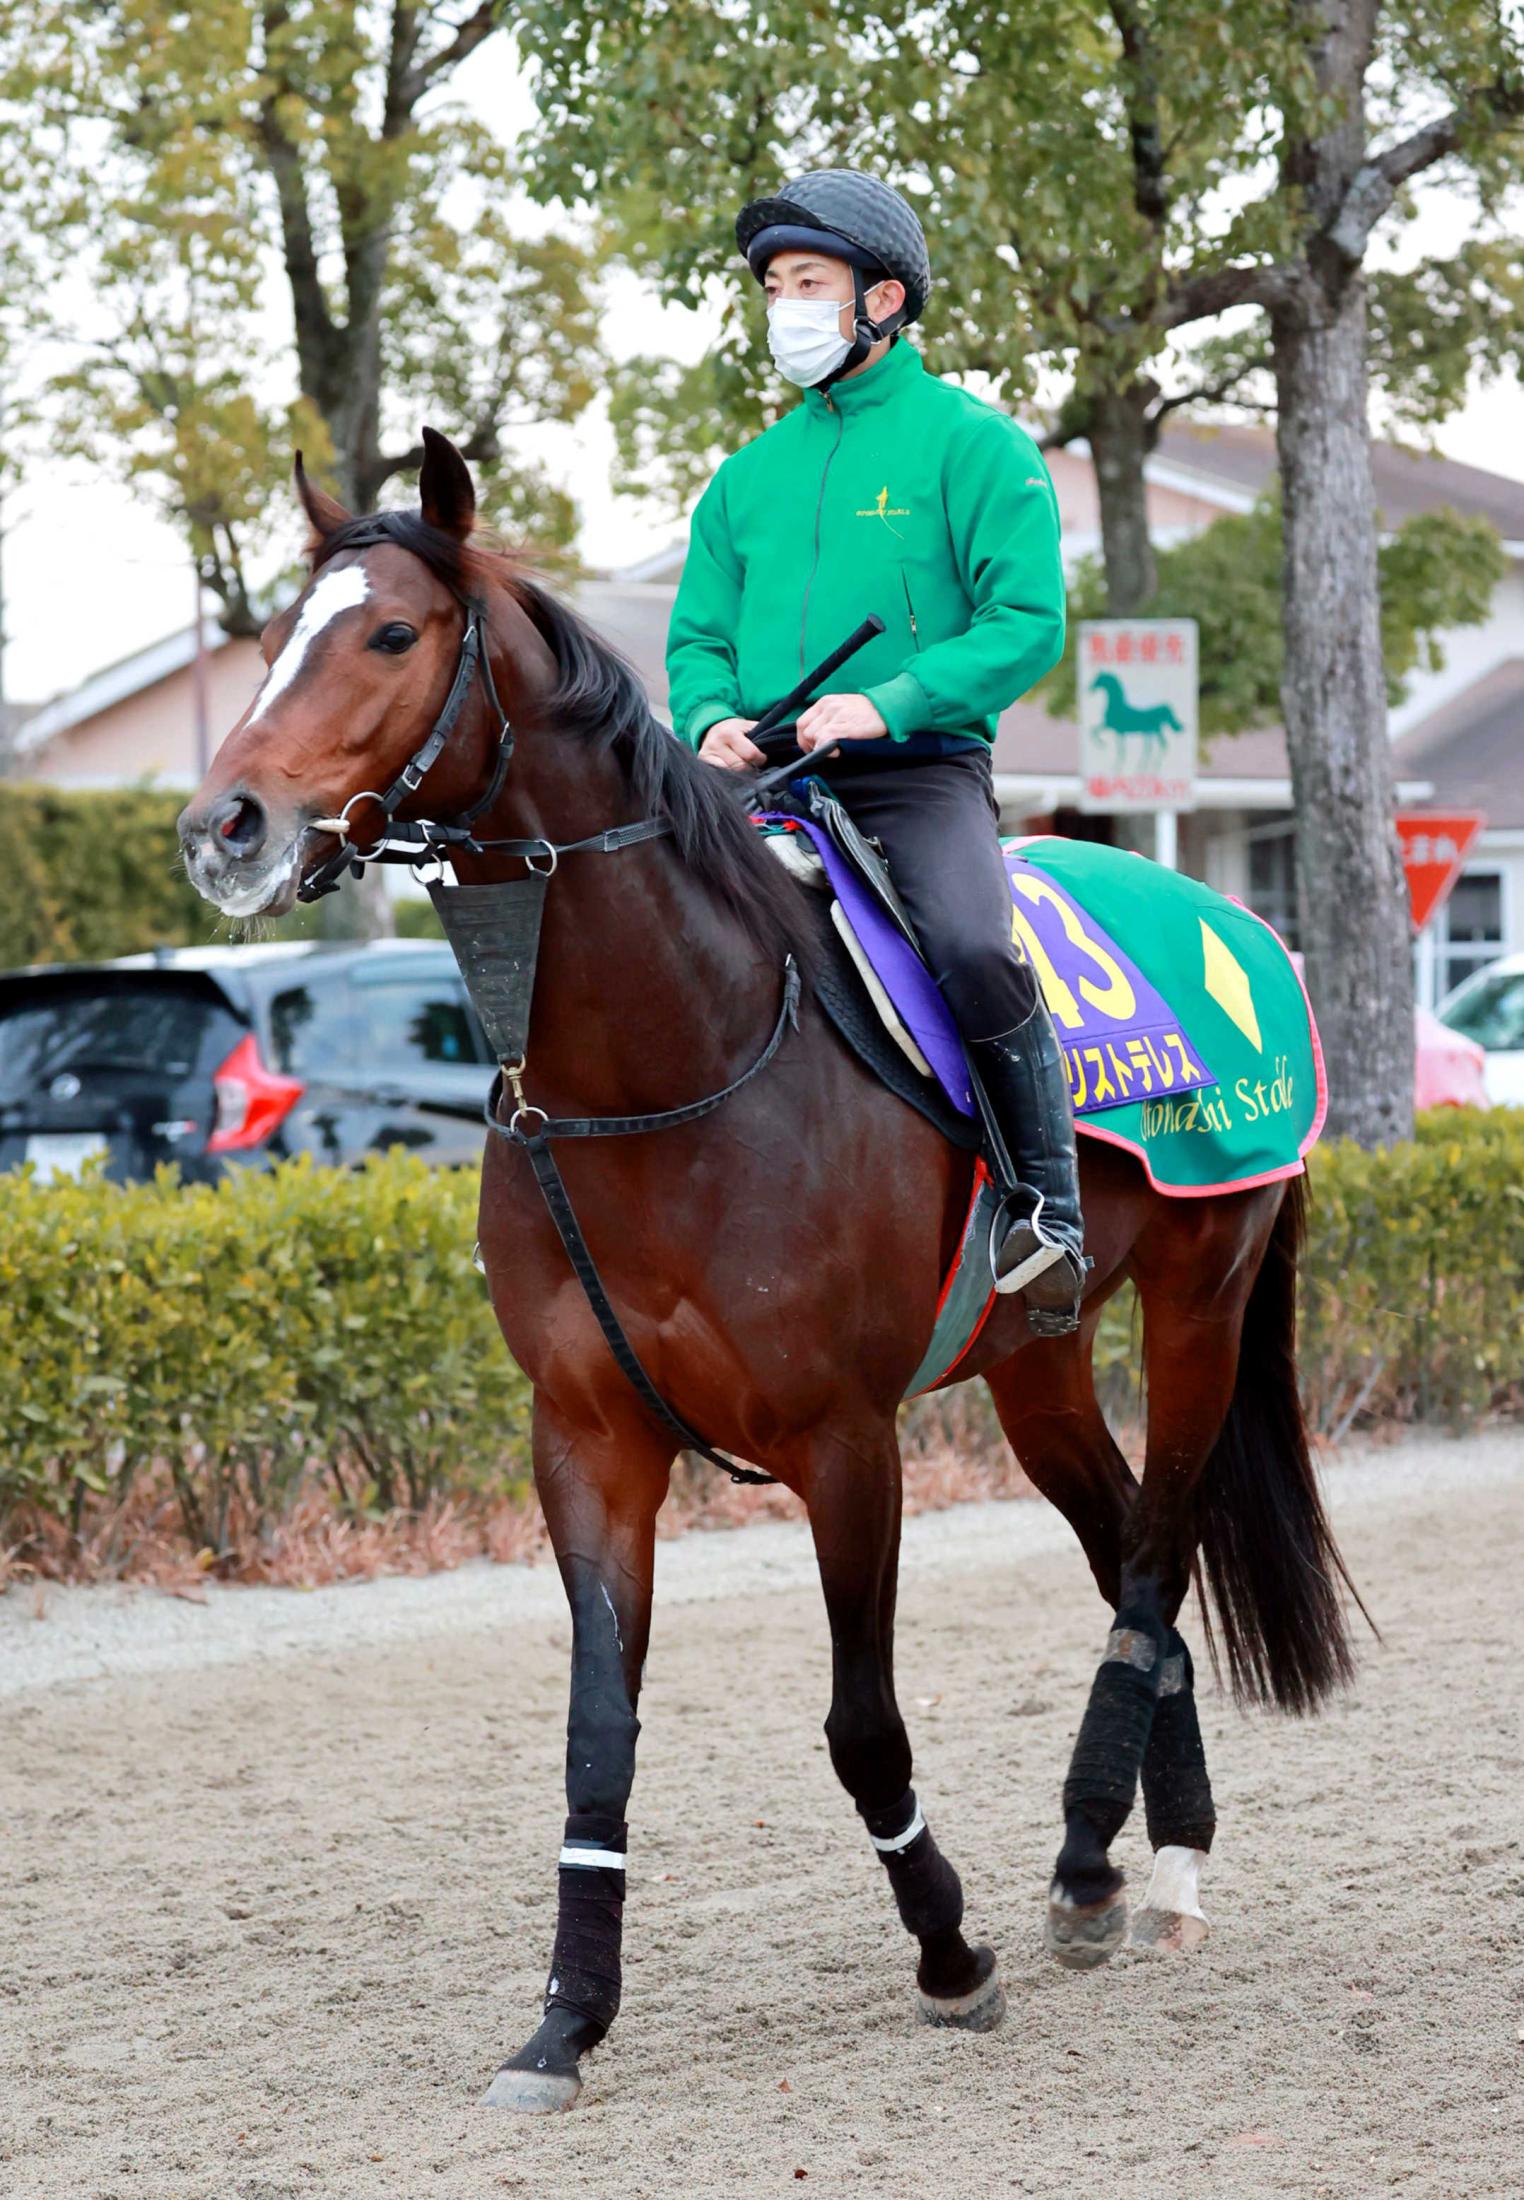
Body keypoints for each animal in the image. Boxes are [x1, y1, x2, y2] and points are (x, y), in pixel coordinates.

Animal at [174, 424, 1354, 2112]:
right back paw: (1129, 1859)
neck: (672, 1066)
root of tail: (1246, 926)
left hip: (1202, 1300)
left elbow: (862, 1726)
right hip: (1037, 1362)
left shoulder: (846, 1444)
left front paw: (948, 1952)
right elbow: (597, 1736)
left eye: (391, 633)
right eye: (274, 636)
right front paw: (566, 2019)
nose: (226, 828)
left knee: (1154, 1558)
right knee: (1135, 1542)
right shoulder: (587, 1442)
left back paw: (1113, 1860)